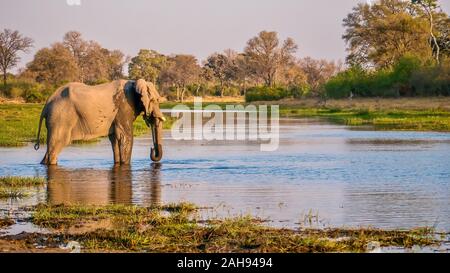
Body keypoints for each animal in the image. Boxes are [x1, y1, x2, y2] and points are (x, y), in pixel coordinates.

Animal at [34, 78, 165, 164]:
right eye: (156, 100)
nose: (152, 150)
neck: (134, 83)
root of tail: (47, 103)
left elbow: (115, 138)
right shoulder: (124, 106)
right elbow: (126, 137)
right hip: (60, 118)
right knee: (57, 146)